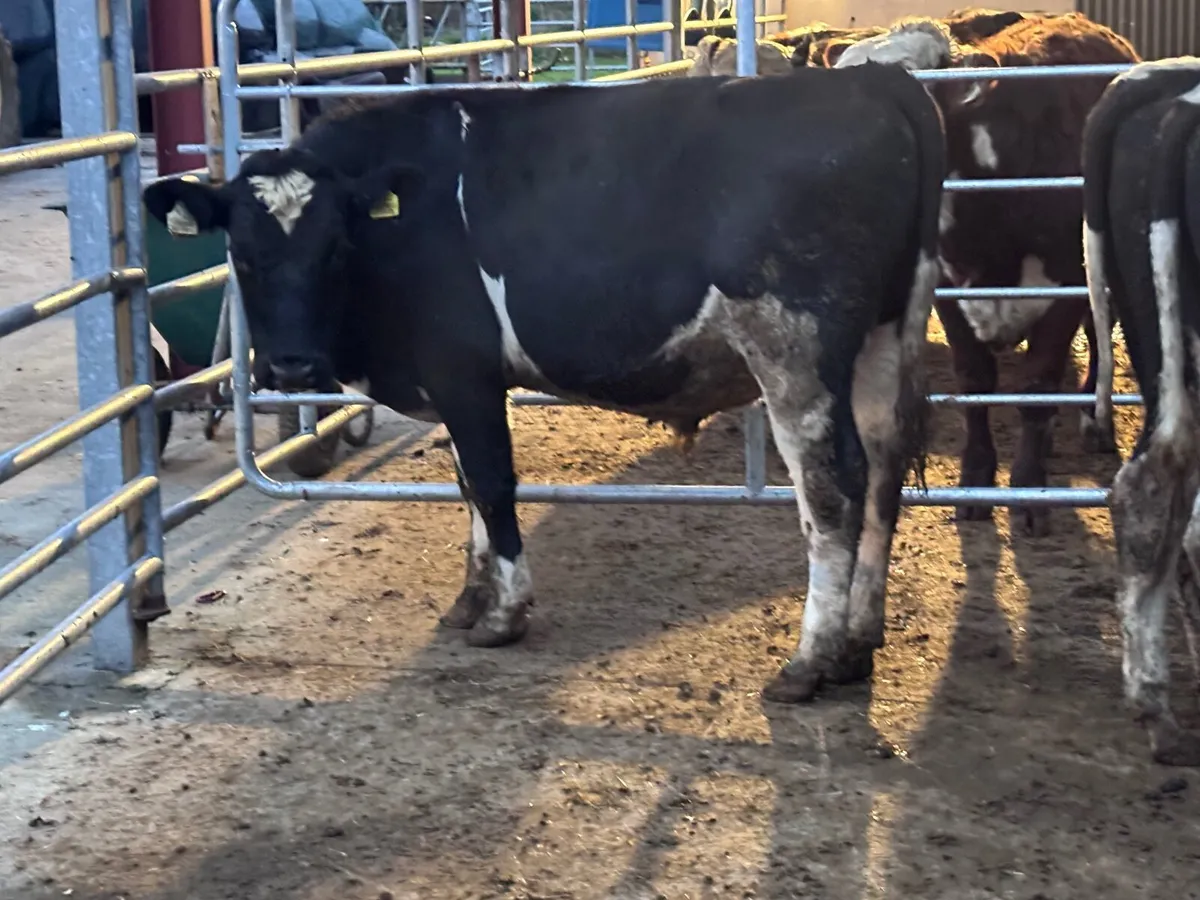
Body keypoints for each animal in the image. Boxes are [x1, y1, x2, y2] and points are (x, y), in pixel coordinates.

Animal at [143, 71, 945, 703]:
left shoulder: (463, 371)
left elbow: (494, 481)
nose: (292, 369)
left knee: (832, 487)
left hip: (794, 348)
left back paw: (811, 659)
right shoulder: (450, 384)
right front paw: (469, 601)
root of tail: (873, 80)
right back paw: (859, 640)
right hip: (885, 335)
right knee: (885, 469)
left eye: (336, 246)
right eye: (241, 252)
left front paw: (505, 615)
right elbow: (466, 482)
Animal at [833, 12, 1139, 536]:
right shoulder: (947, 289)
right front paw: (975, 482)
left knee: (1100, 340)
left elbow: (1039, 383)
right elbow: (974, 382)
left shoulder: (1066, 286)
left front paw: (1030, 490)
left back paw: (1093, 422)